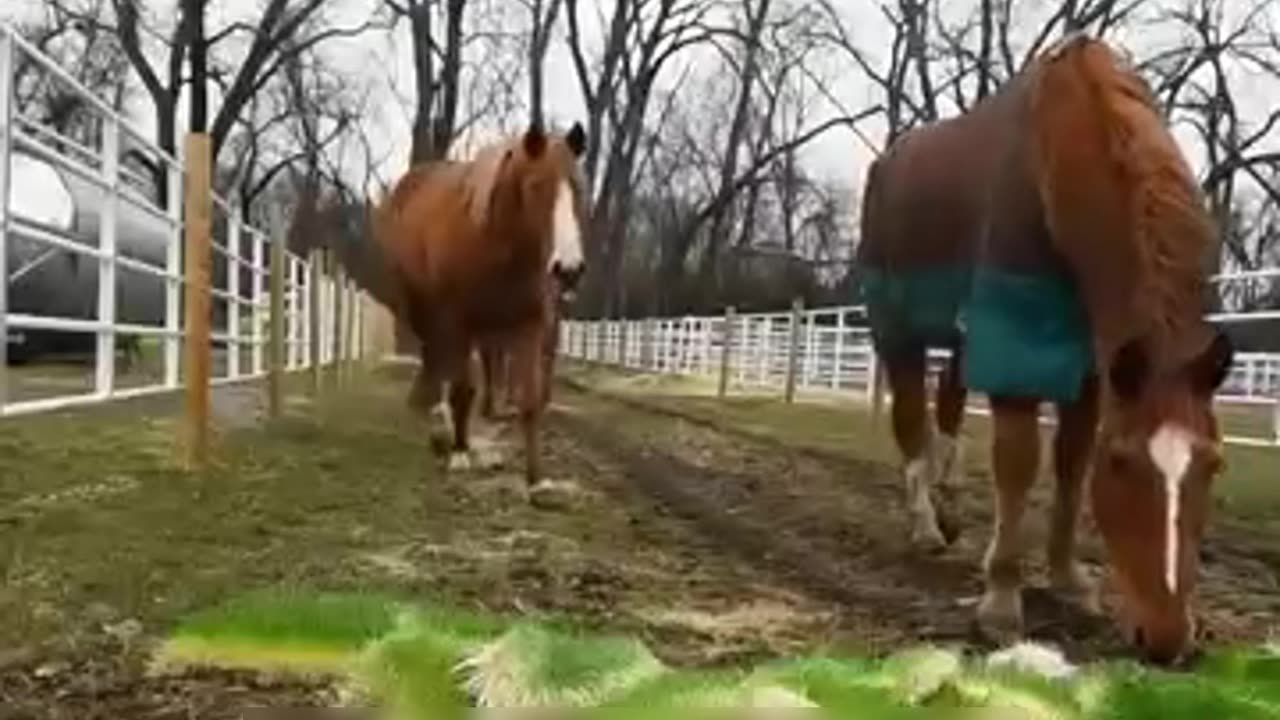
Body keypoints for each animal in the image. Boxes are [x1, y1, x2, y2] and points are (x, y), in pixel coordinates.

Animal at [373, 122, 586, 484]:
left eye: (578, 187)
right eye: (536, 186)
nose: (568, 268)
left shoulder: (528, 326)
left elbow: (530, 403)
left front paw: (536, 478)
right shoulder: (461, 322)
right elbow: (463, 390)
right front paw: (460, 453)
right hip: (423, 307)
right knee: (433, 356)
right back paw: (433, 414)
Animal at [855, 32, 1233, 661]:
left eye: (1214, 463)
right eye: (1122, 462)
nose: (1166, 639)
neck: (1054, 163)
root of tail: (886, 162)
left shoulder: (1089, 368)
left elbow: (1071, 469)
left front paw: (1069, 582)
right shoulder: (1018, 341)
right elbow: (1018, 464)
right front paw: (1001, 605)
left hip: (961, 340)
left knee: (947, 407)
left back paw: (949, 507)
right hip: (897, 330)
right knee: (910, 421)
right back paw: (926, 525)